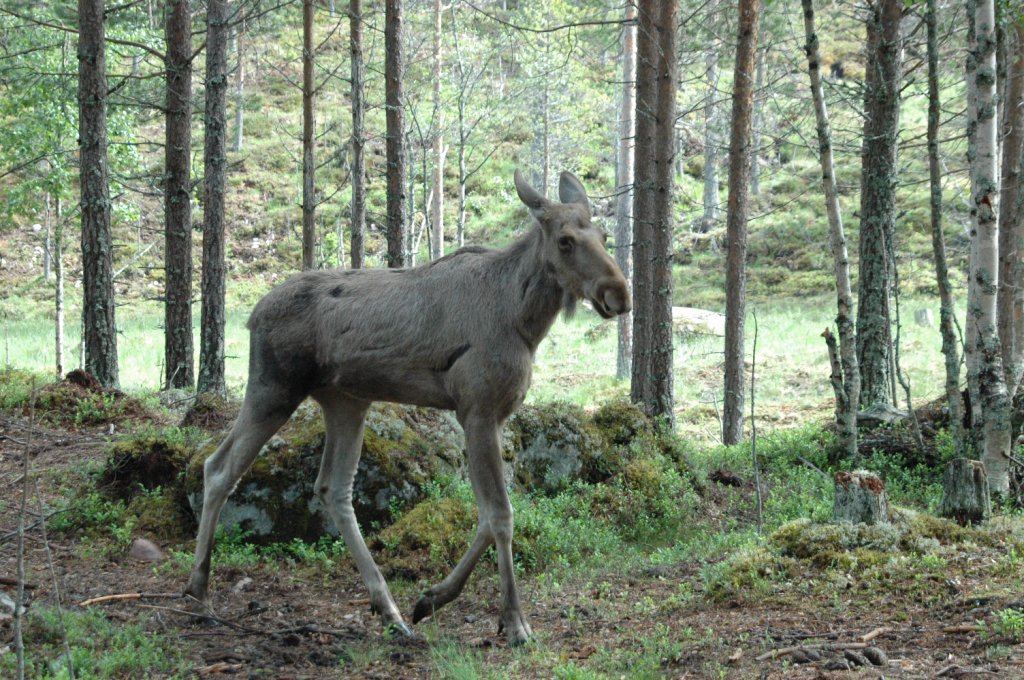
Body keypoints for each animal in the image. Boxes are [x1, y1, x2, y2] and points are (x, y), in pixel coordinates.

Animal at [185, 168, 630, 643]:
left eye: (604, 235)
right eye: (565, 240)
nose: (619, 294)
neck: (525, 320)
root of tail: (252, 314)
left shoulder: (491, 416)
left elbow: (486, 516)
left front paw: (432, 598)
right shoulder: (477, 410)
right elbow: (500, 515)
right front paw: (514, 620)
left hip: (346, 401)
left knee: (332, 487)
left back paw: (389, 609)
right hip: (274, 388)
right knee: (219, 468)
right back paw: (198, 592)